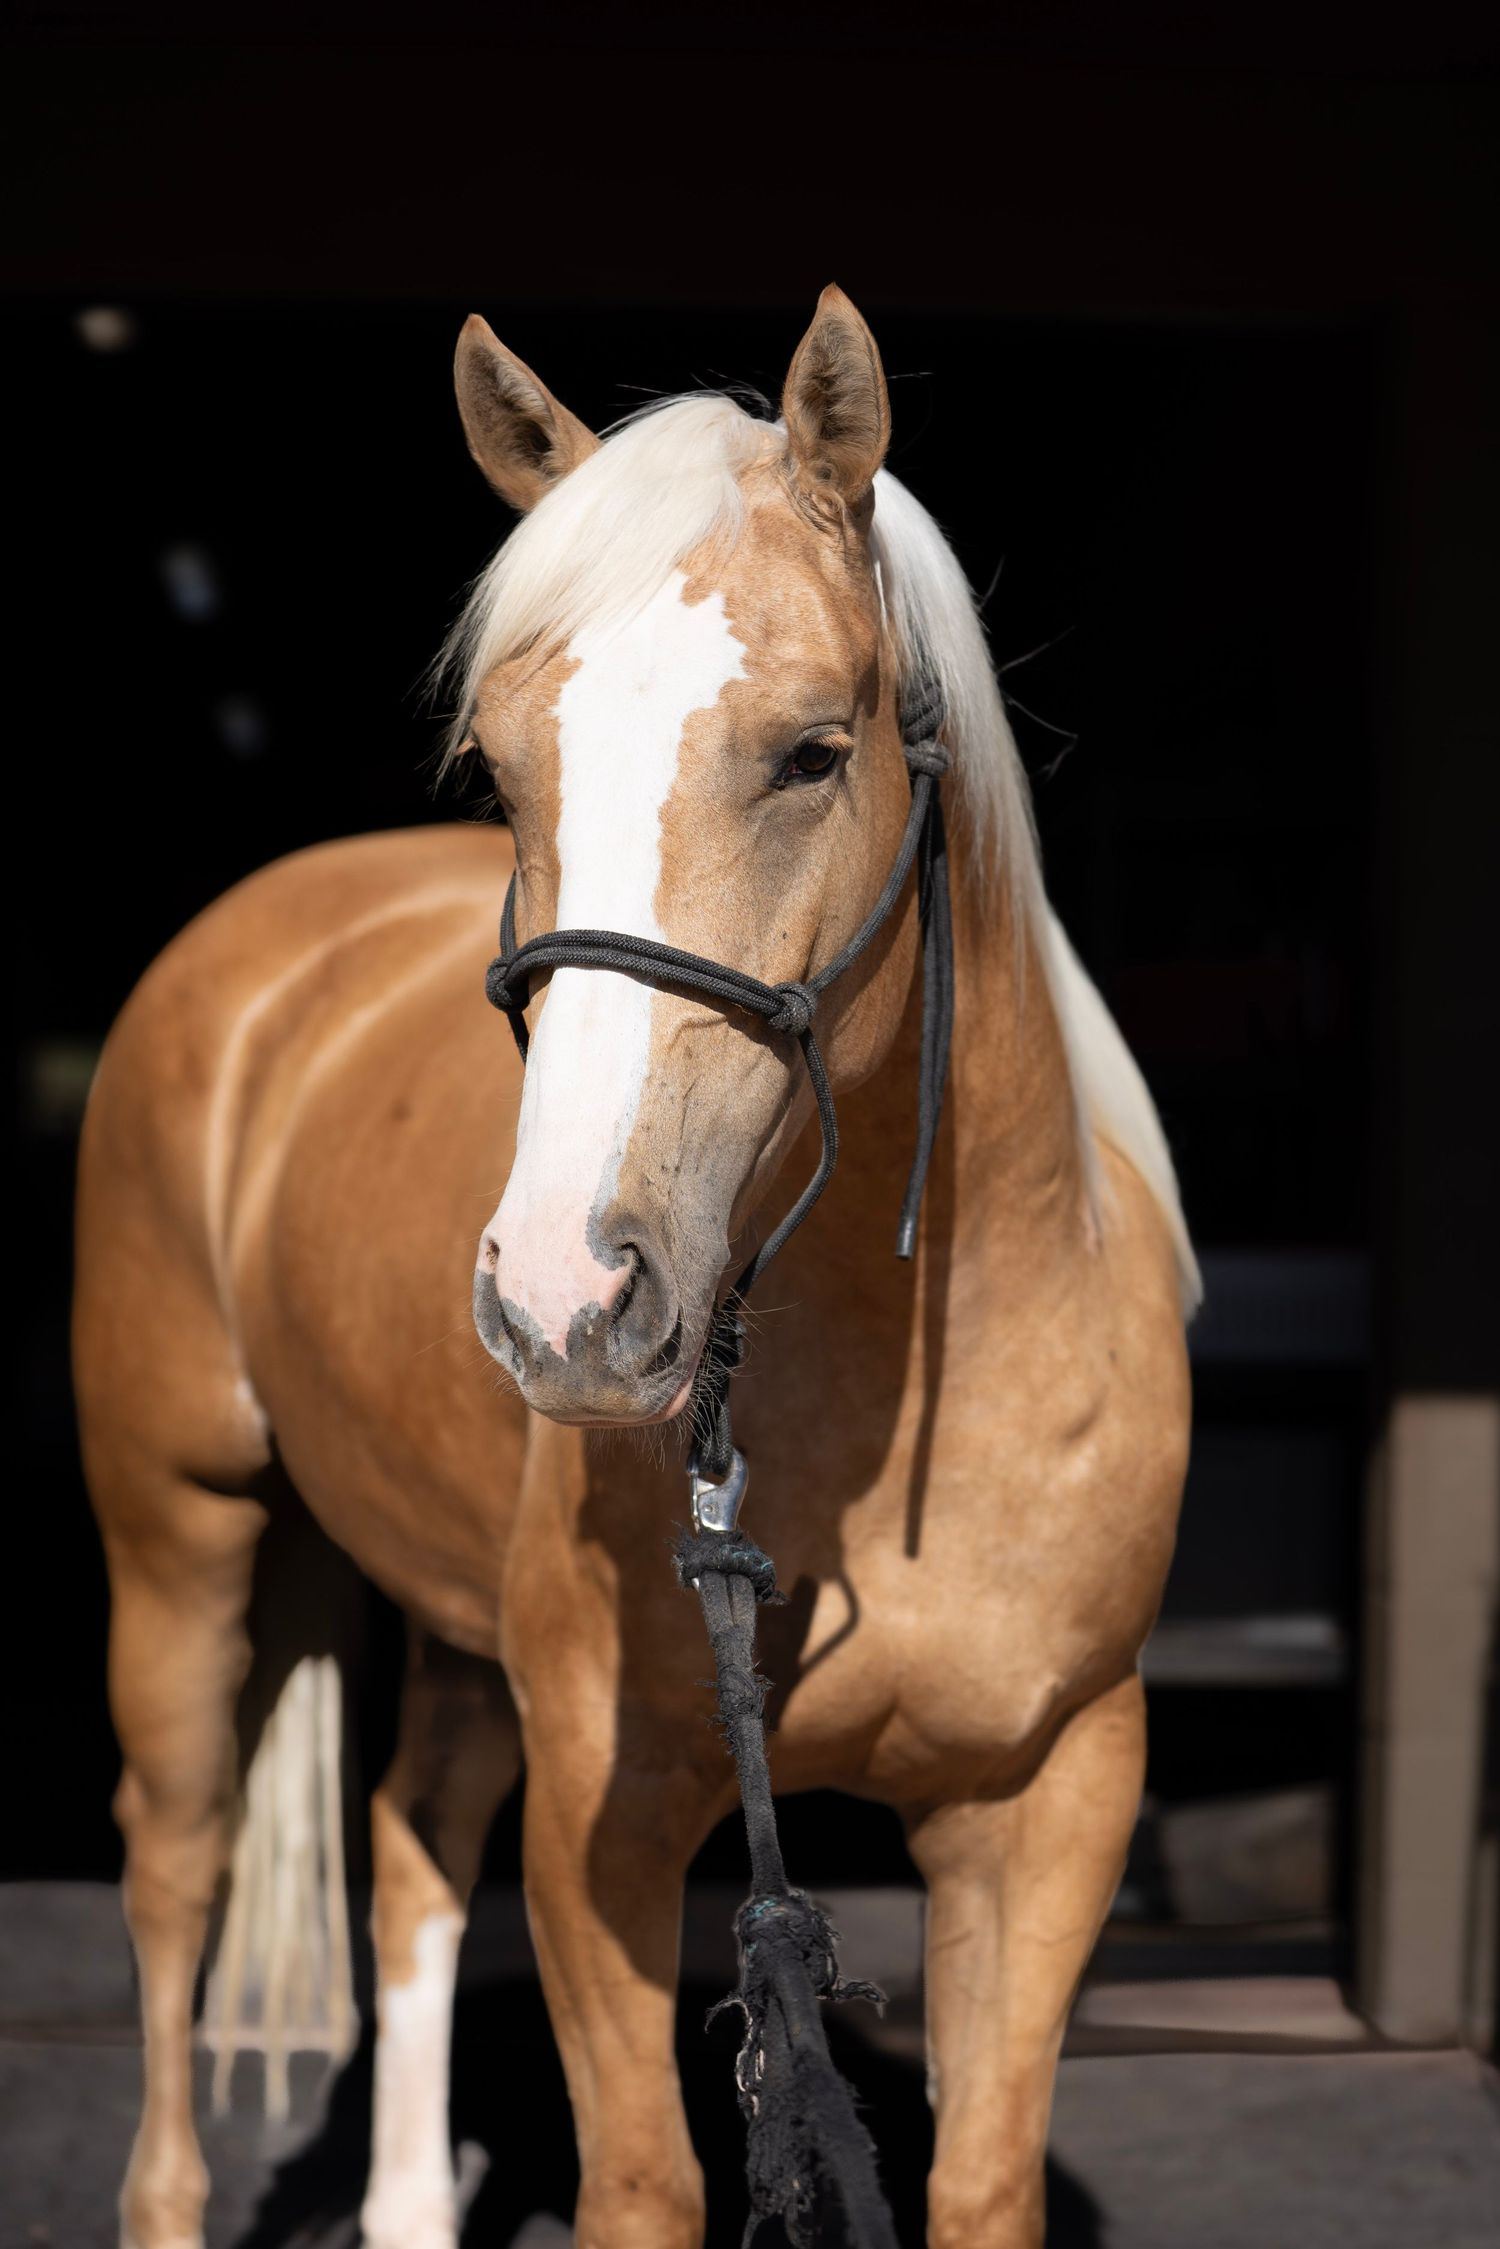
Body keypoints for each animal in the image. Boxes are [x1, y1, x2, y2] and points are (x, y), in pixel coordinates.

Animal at [75, 285, 1197, 2249]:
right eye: (503, 769)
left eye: (815, 748)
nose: (565, 1303)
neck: (899, 1414)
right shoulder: (609, 1802)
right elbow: (646, 2180)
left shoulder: (1052, 1796)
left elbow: (981, 2174)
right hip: (182, 1528)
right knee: (177, 1863)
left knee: (408, 1842)